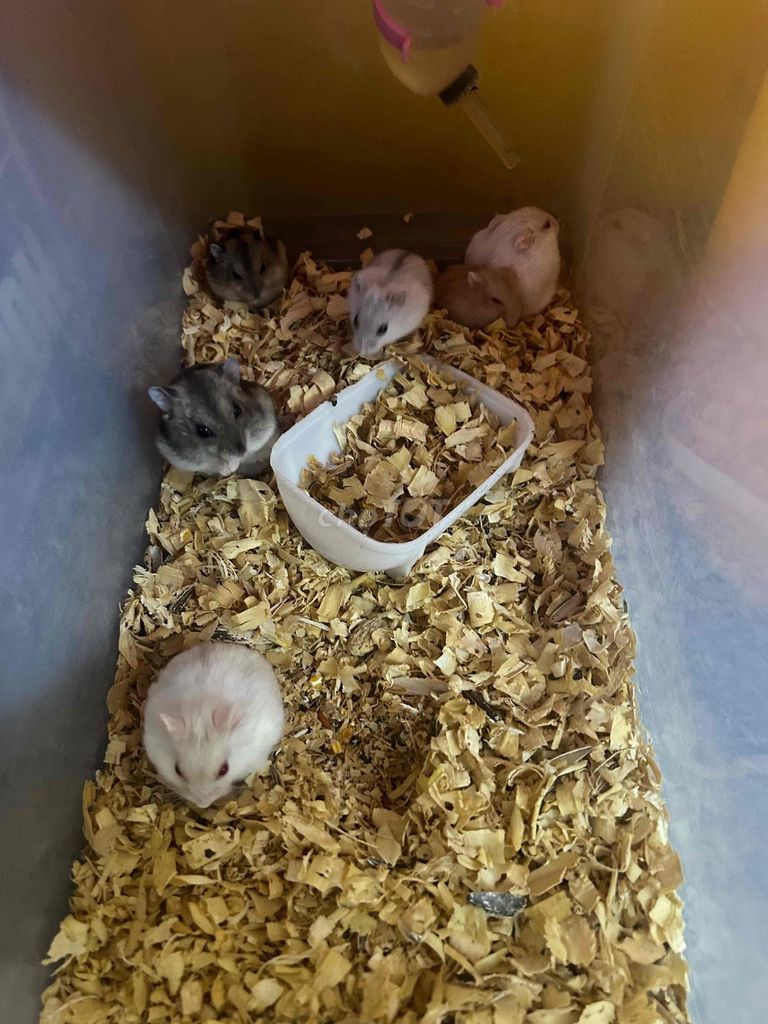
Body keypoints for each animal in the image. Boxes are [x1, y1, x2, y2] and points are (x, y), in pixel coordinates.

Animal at [148, 357, 280, 477]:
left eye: (237, 410)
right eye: (202, 431)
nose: (241, 452)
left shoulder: (264, 428)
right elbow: (214, 464)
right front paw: (229, 469)